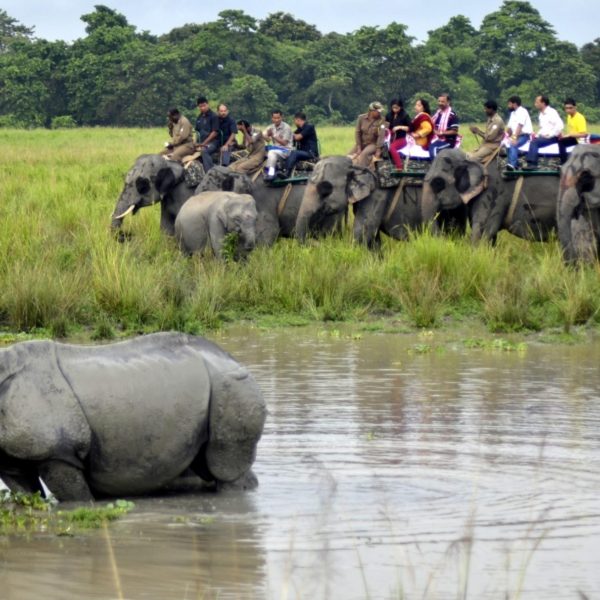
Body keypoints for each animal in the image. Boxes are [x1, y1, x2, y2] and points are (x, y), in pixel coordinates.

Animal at [0, 332, 268, 502]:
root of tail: (233, 359)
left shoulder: (57, 452)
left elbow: (76, 500)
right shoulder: (13, 458)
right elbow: (25, 491)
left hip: (231, 385)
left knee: (224, 467)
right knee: (204, 465)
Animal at [296, 156, 468, 250]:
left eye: (325, 190)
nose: (318, 243)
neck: (356, 164)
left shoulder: (377, 195)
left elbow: (362, 234)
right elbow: (373, 240)